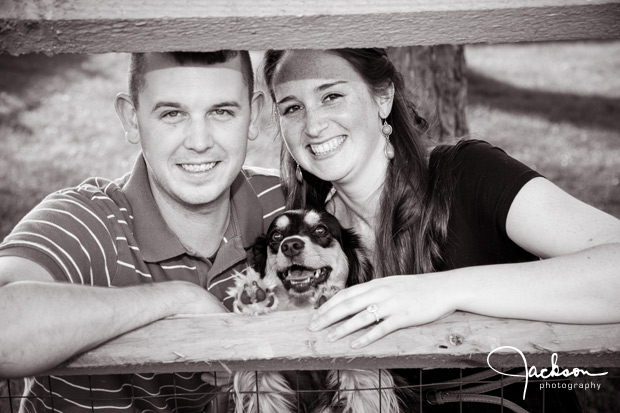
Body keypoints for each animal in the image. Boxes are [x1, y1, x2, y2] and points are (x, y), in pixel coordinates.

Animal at [225, 209, 410, 412]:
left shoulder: (366, 386)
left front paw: (331, 296)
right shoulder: (262, 385)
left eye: (321, 230)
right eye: (276, 236)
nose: (290, 245)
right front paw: (255, 297)